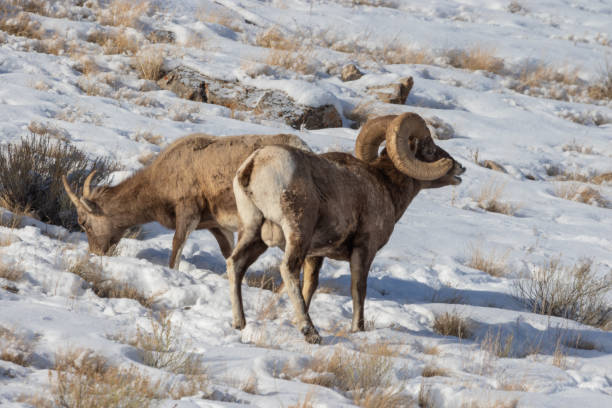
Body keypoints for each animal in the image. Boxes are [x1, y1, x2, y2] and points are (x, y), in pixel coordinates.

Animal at [62, 132, 310, 270]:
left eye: (83, 222)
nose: (96, 253)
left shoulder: (187, 212)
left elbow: (176, 247)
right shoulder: (217, 226)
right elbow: (229, 254)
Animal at [228, 112, 464, 344]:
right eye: (430, 150)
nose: (460, 167)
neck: (385, 186)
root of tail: (255, 164)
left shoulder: (316, 254)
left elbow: (310, 285)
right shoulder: (364, 249)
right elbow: (358, 289)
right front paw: (357, 329)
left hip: (253, 233)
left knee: (235, 264)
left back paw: (239, 323)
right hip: (297, 232)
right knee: (288, 270)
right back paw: (310, 332)